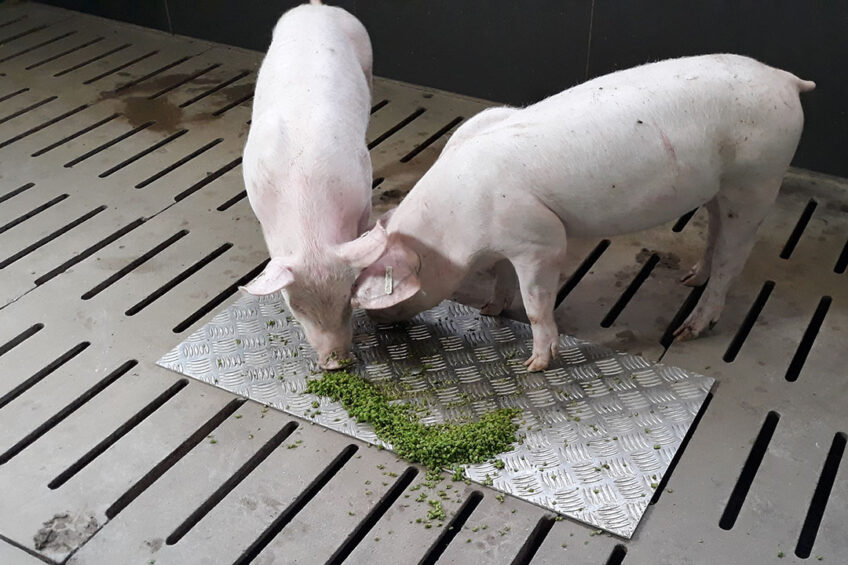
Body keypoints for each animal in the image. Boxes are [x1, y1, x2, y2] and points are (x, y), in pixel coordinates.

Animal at [242, 1, 388, 370]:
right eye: (295, 306)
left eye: (349, 294)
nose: (335, 362)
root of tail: (316, 8)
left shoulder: (362, 189)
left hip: (366, 52)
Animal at [348, 53, 812, 370]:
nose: (376, 323)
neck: (456, 221)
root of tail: (785, 80)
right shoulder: (508, 243)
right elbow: (502, 278)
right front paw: (490, 311)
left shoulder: (539, 238)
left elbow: (536, 301)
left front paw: (534, 365)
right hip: (722, 187)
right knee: (715, 228)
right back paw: (689, 277)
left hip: (757, 180)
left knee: (733, 260)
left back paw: (688, 331)